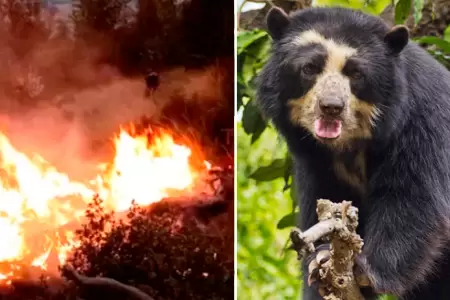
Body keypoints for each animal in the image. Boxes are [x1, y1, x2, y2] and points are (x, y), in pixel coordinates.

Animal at [256, 4, 450, 300]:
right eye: (310, 68)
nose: (331, 107)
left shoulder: (423, 125)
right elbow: (326, 201)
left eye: (356, 74)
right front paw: (320, 260)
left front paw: (365, 270)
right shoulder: (316, 160)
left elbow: (413, 199)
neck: (351, 143)